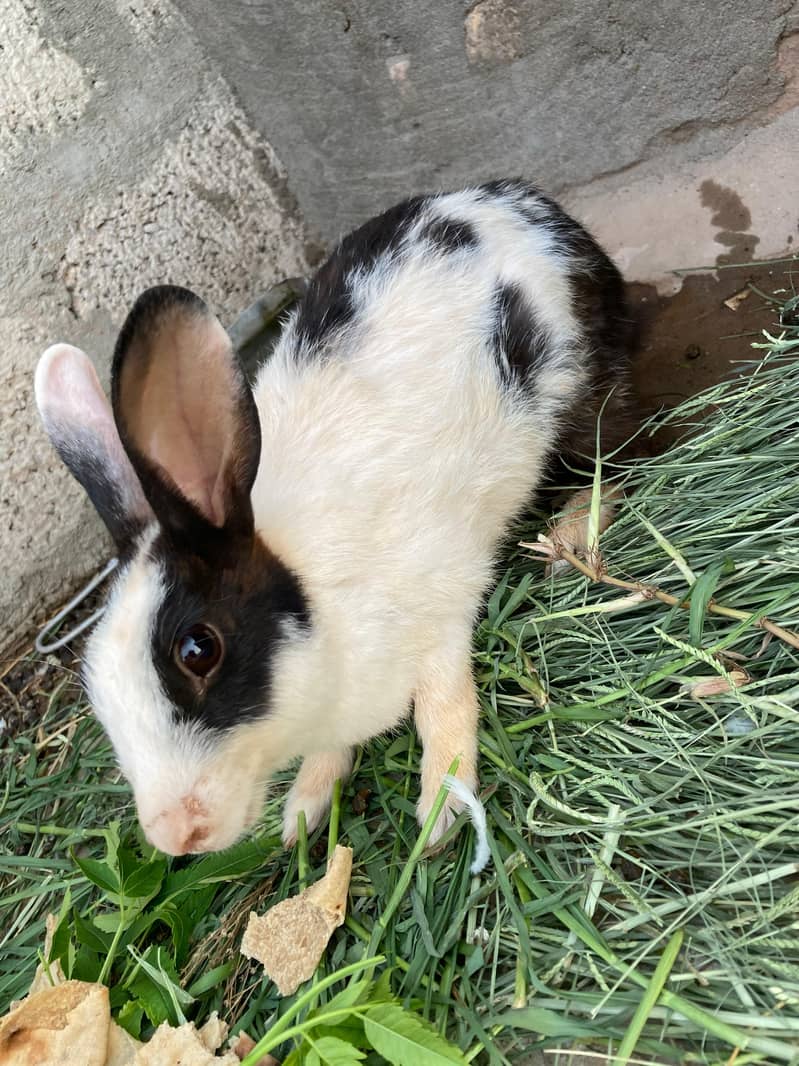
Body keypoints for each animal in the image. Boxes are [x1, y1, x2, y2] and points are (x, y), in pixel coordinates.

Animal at [35, 179, 636, 857]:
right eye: (95, 683)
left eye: (198, 650)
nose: (176, 835)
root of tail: (522, 202)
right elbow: (331, 754)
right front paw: (304, 812)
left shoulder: (442, 613)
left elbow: (444, 709)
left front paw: (440, 816)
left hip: (587, 393)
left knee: (616, 456)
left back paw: (570, 538)